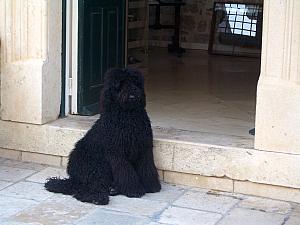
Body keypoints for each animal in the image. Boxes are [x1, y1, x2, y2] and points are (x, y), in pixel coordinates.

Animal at [44, 67, 161, 205]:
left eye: (134, 82)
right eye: (120, 84)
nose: (133, 93)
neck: (128, 117)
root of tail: (74, 177)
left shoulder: (144, 148)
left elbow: (147, 168)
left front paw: (151, 185)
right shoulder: (118, 154)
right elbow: (126, 172)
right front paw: (134, 190)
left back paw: (111, 190)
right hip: (97, 168)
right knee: (87, 188)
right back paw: (98, 197)